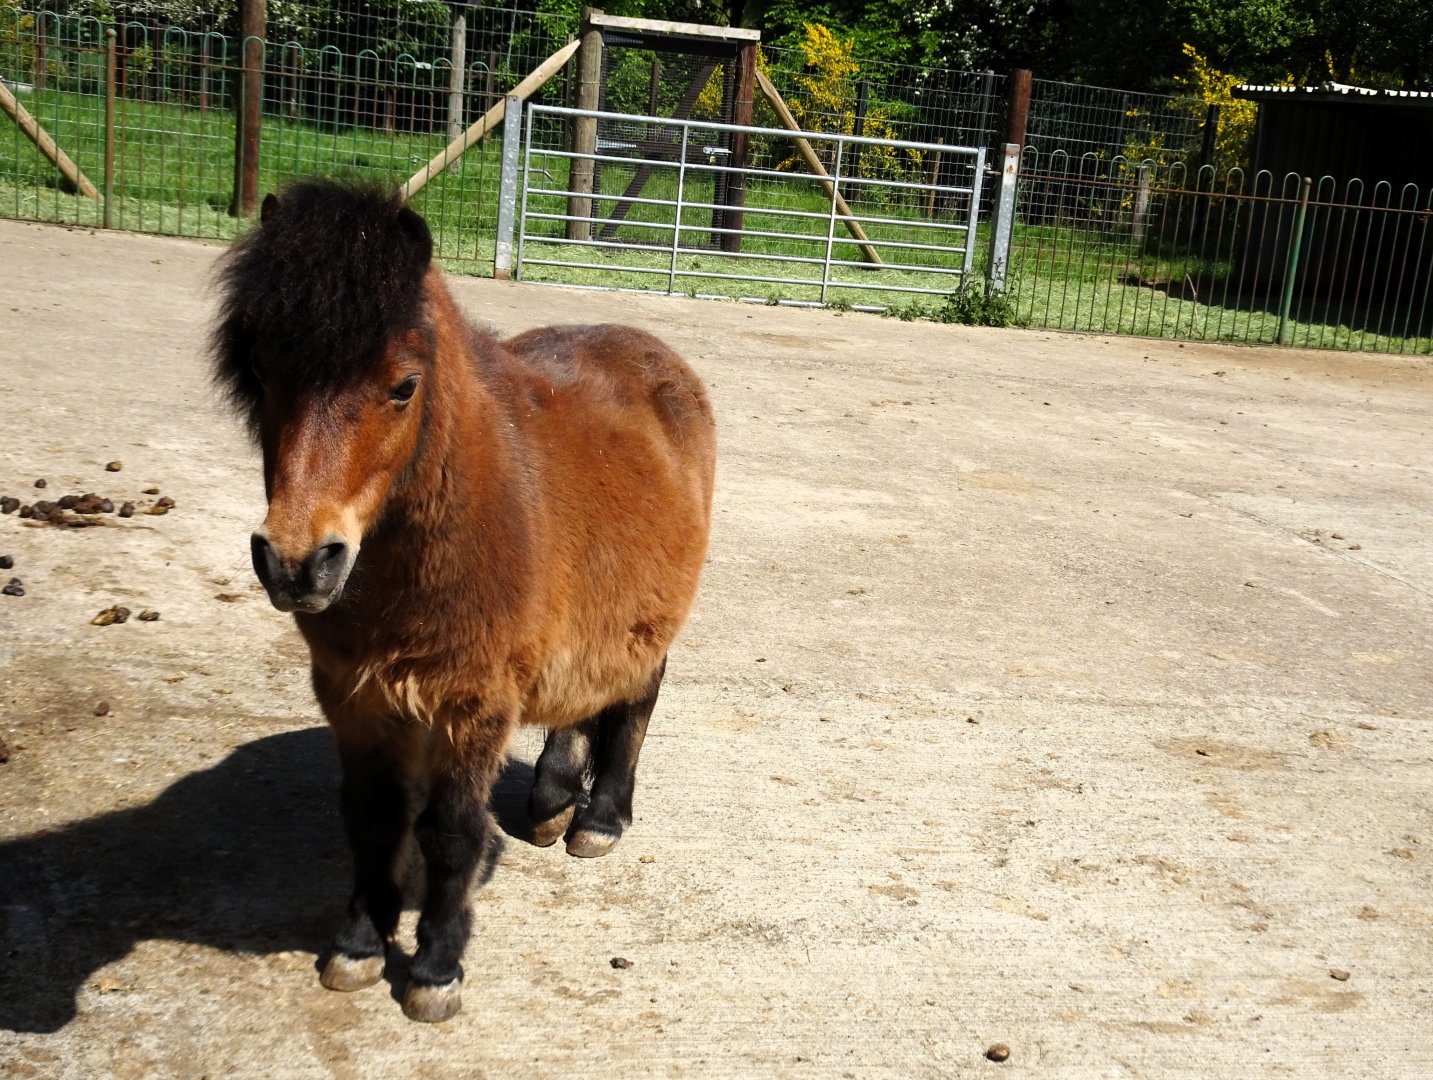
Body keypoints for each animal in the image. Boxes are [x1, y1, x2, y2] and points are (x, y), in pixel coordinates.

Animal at [211, 178, 716, 1023]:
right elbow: (373, 818)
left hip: (649, 622)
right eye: (261, 370)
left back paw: (600, 817)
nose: (297, 564)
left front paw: (434, 967)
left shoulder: (472, 704)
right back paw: (552, 798)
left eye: (402, 386)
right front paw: (359, 943)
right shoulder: (354, 696)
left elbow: (450, 832)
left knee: (634, 700)